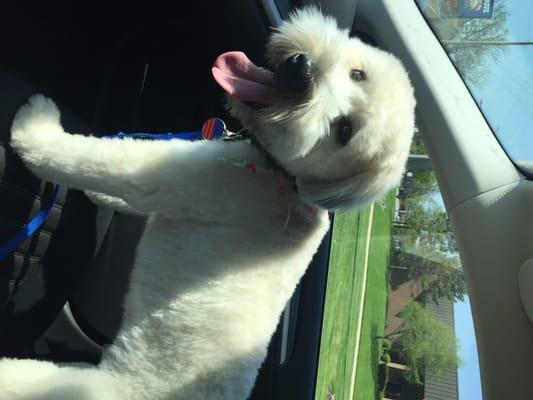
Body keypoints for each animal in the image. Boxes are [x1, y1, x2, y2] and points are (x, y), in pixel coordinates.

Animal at [1, 8, 416, 400]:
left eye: (344, 130)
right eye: (359, 74)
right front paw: (100, 196)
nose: (304, 71)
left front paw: (36, 122)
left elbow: (90, 159)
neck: (281, 174)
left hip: (62, 382)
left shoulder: (186, 179)